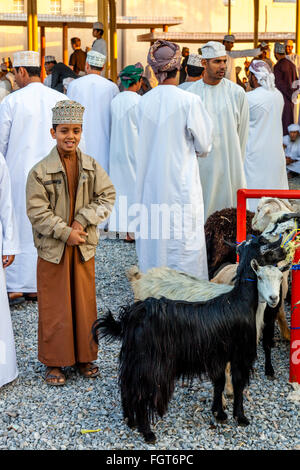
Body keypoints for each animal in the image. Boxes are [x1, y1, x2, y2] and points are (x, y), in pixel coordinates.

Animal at [93, 237, 286, 442]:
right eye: (267, 251)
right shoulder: (239, 354)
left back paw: (130, 420)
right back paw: (147, 432)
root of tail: (132, 315)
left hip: (133, 358)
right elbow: (238, 384)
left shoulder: (218, 355)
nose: (284, 252)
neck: (238, 300)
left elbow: (219, 382)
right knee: (141, 393)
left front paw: (219, 413)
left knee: (127, 387)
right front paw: (240, 417)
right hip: (149, 363)